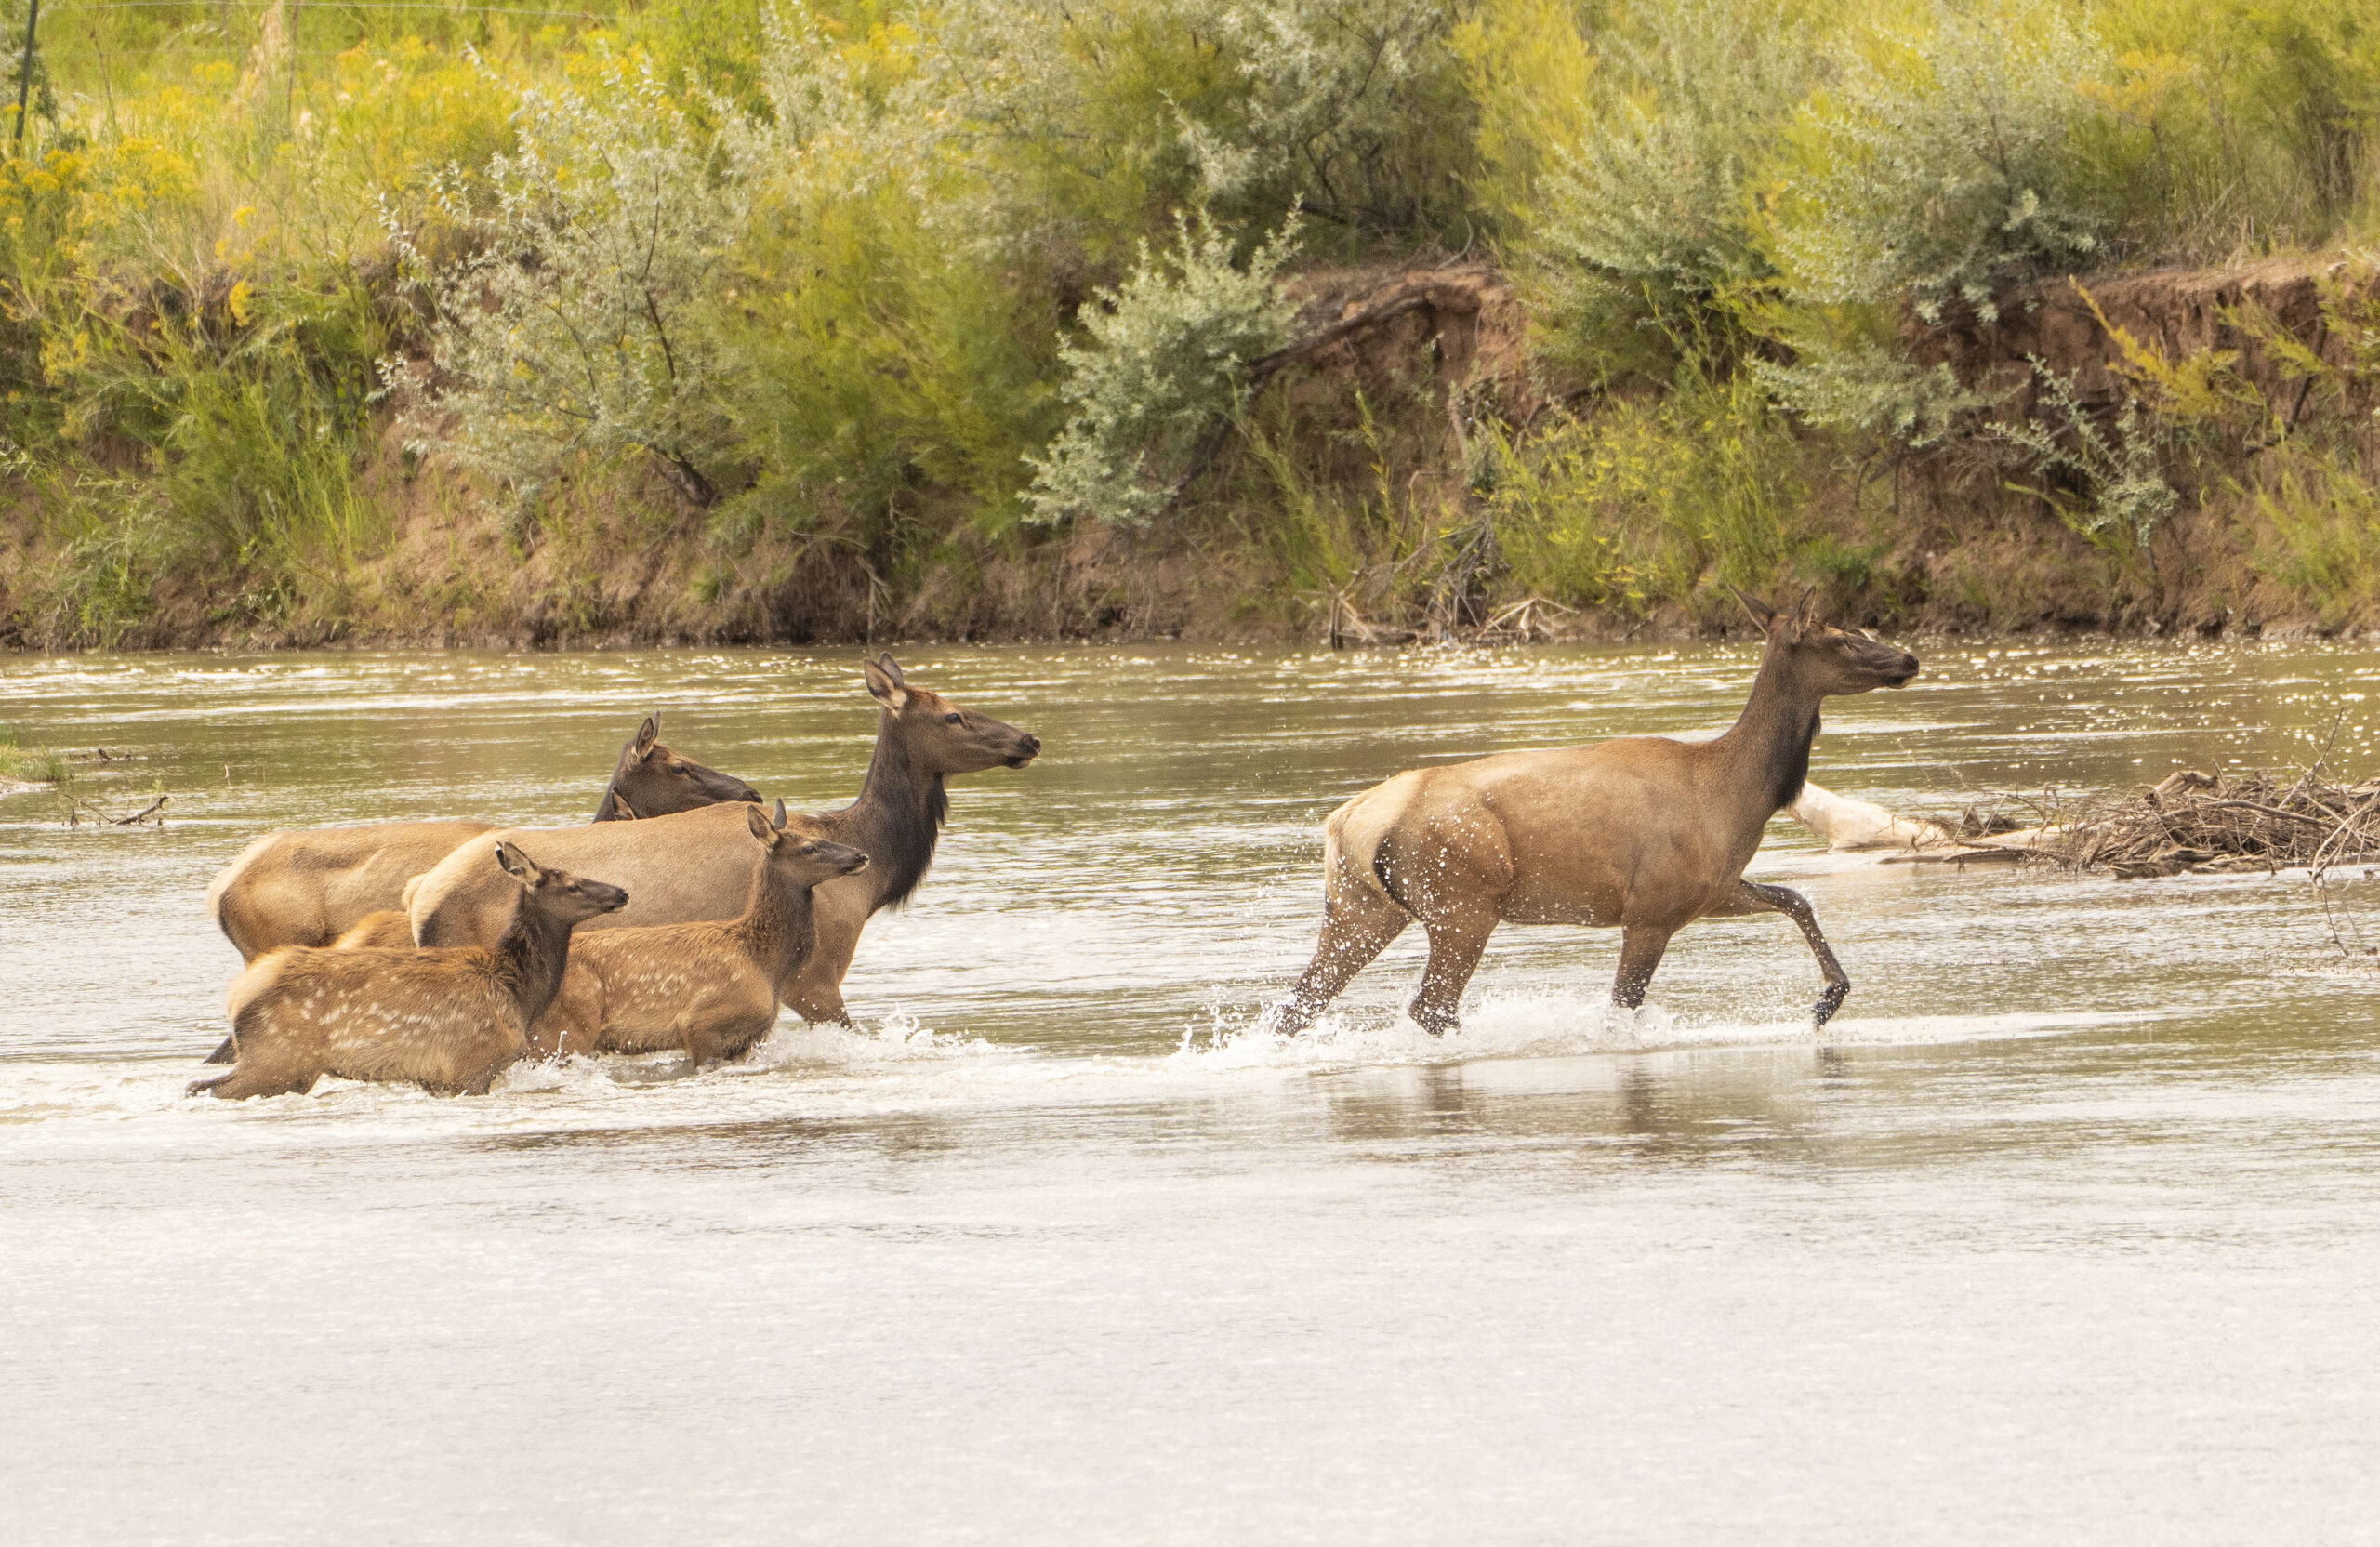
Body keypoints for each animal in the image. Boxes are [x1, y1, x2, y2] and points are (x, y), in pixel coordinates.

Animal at [190, 843, 629, 1100]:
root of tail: (237, 997)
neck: (520, 993)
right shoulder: (471, 1066)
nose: (622, 892)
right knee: (203, 1087)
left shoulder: (435, 1079)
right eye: (573, 885)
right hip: (275, 1059)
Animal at [537, 801, 871, 1068]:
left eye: (819, 838)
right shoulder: (701, 1023)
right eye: (809, 847)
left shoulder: (750, 1038)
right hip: (567, 1030)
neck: (766, 961)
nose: (861, 855)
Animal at [1272, 592, 1920, 1037]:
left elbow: (1795, 897)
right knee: (1430, 1005)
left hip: (1360, 907)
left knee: (1297, 1005)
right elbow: (1622, 1007)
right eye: (1842, 637)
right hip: (1462, 903)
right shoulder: (1652, 908)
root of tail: (1344, 826)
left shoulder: (1709, 890)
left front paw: (1828, 999)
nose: (1909, 658)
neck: (1738, 799)